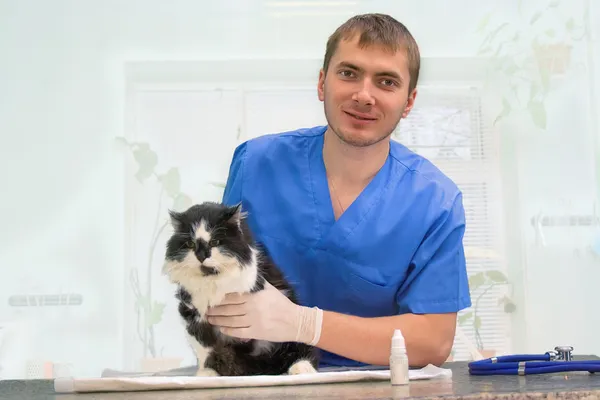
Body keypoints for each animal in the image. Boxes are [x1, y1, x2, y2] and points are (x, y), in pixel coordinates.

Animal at [162, 202, 322, 376]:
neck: (211, 281)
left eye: (215, 242)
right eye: (190, 244)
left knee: (300, 350)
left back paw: (302, 368)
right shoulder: (191, 313)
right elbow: (205, 348)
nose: (201, 256)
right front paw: (207, 372)